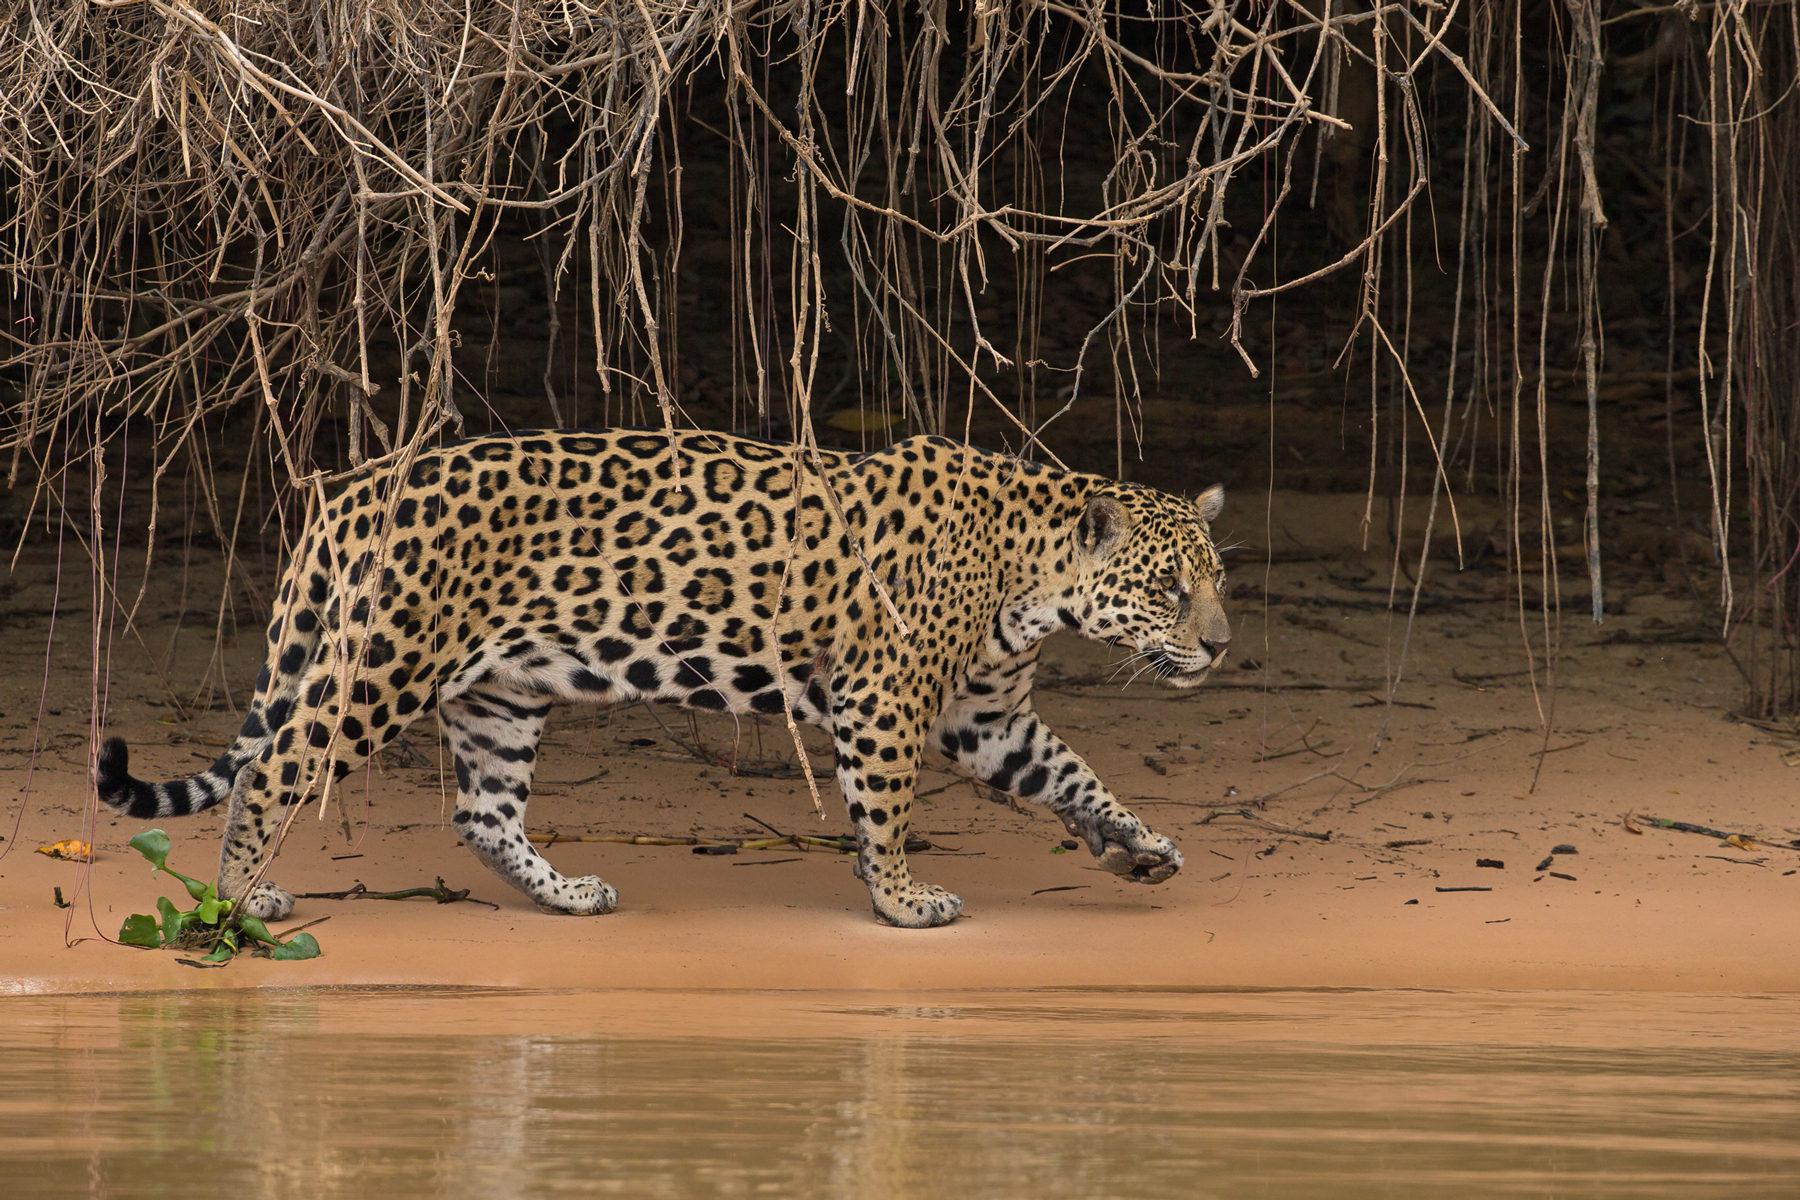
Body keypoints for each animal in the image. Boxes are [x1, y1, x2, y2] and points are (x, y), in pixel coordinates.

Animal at [97, 428, 1231, 928]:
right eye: (1169, 589)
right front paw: (902, 899)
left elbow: (1075, 775)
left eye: (1216, 581)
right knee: (273, 767)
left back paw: (567, 894)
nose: (1222, 648)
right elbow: (887, 807)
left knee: (481, 812)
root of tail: (355, 488)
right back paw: (238, 899)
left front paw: (1140, 849)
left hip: (500, 692)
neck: (1030, 570)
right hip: (383, 662)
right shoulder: (885, 696)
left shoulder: (986, 714)